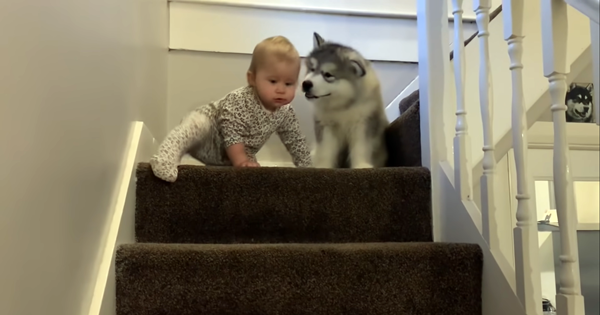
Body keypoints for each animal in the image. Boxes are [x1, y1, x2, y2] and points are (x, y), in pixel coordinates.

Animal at [300, 32, 390, 169]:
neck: (342, 106)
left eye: (328, 75)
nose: (305, 84)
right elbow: (325, 150)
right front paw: (323, 166)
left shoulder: (362, 124)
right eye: (312, 69)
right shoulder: (326, 126)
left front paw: (361, 165)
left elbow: (361, 147)